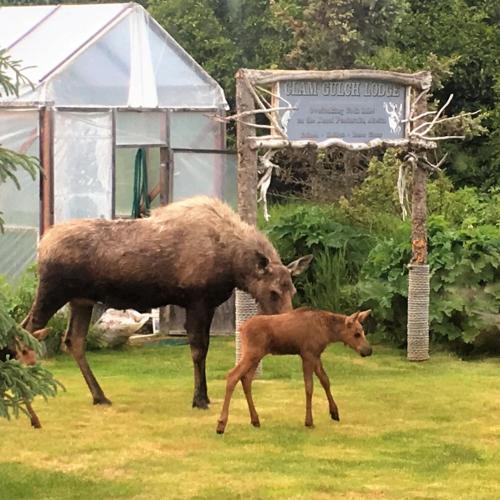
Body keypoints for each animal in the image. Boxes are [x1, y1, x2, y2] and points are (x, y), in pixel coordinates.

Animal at [24, 197, 312, 408]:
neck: (233, 267)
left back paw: (100, 395)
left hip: (81, 300)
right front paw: (199, 399)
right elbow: (198, 350)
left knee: (73, 341)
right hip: (52, 291)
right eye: (273, 292)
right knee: (28, 329)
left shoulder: (206, 304)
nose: (291, 326)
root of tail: (41, 246)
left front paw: (203, 396)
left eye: (293, 289)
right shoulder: (197, 301)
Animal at [218, 306, 372, 432]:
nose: (369, 350)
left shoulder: (316, 355)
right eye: (356, 334)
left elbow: (325, 381)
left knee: (246, 379)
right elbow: (309, 387)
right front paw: (309, 421)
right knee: (233, 375)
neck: (328, 333)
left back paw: (255, 420)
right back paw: (221, 424)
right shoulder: (308, 354)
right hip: (252, 353)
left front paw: (334, 412)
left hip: (256, 356)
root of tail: (241, 328)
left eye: (363, 331)